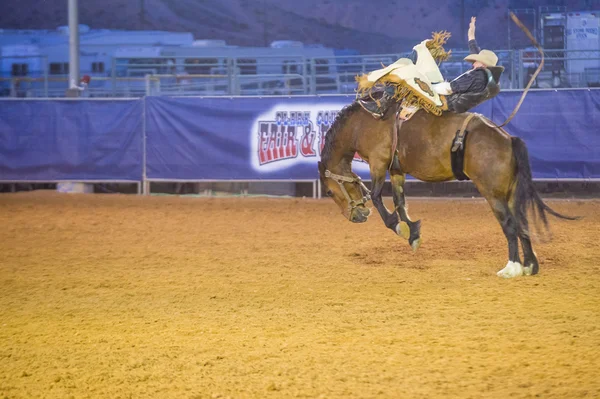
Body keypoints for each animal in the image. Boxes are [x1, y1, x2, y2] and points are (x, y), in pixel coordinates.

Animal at [318, 101, 576, 280]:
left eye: (329, 193)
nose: (356, 217)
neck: (361, 124)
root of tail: (508, 138)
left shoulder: (378, 163)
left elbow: (378, 197)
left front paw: (399, 227)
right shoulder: (396, 170)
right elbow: (400, 202)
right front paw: (412, 233)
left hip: (493, 194)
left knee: (510, 225)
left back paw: (511, 268)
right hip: (511, 194)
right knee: (522, 223)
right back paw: (530, 265)